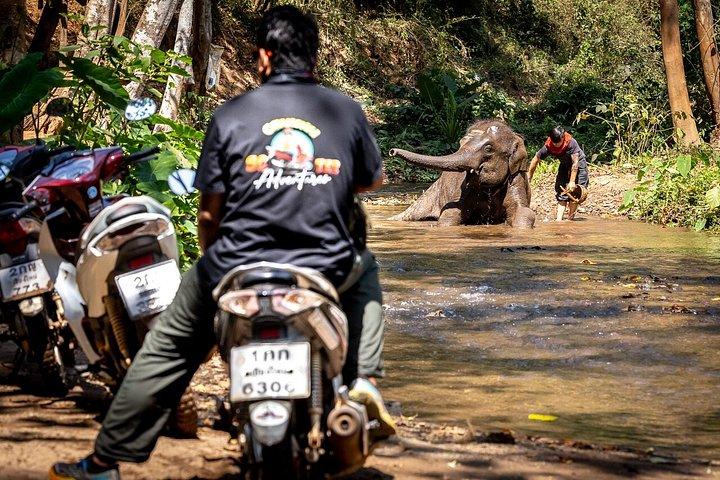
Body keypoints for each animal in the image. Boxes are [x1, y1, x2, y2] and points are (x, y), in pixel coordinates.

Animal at [389, 119, 535, 228]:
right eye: (461, 143)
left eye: (488, 149)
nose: (392, 151)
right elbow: (450, 212)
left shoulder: (516, 177)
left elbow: (524, 212)